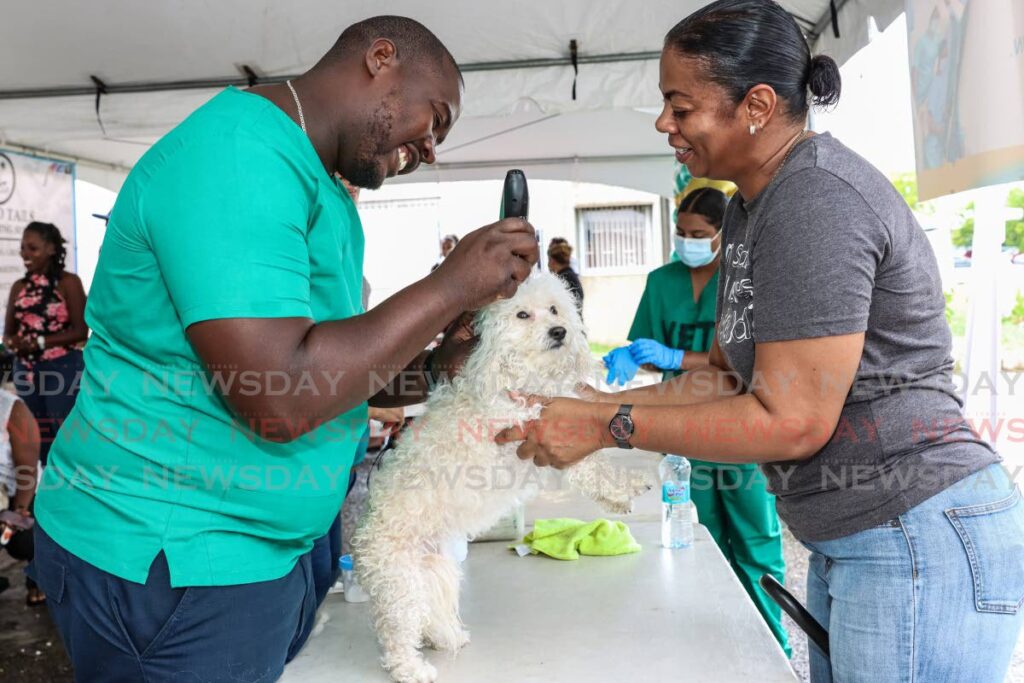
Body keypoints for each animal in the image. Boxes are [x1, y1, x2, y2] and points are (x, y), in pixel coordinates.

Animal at [354, 272, 647, 683]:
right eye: (522, 314)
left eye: (555, 309)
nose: (559, 331)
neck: (521, 376)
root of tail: (363, 539)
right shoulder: (536, 430)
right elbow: (592, 463)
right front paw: (623, 489)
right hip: (400, 582)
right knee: (398, 632)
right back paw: (411, 668)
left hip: (433, 569)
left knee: (429, 616)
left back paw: (448, 637)